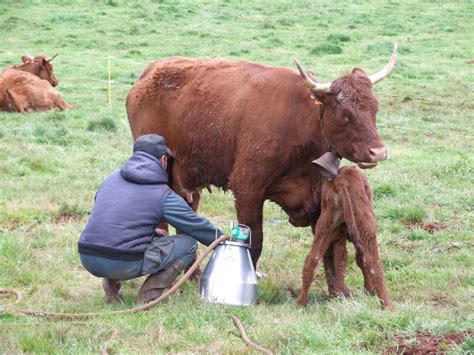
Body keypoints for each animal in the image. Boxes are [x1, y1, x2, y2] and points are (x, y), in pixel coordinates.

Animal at [126, 44, 396, 272]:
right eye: (344, 115)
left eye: (374, 109)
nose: (378, 152)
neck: (300, 121)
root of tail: (149, 73)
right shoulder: (247, 189)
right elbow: (254, 243)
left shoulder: (317, 197)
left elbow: (327, 246)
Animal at [296, 167, 392, 308]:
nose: (370, 291)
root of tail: (341, 179)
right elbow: (359, 259)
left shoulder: (338, 235)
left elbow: (341, 259)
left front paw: (341, 292)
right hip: (365, 223)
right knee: (372, 262)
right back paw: (388, 305)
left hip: (325, 223)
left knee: (313, 259)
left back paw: (301, 303)